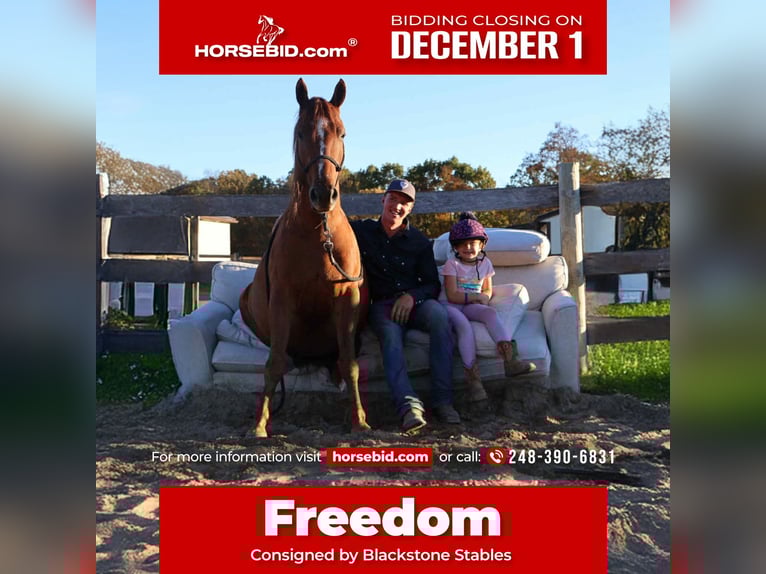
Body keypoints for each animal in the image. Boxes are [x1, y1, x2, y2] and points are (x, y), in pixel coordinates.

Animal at [239, 78, 370, 438]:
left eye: (342, 133)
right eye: (300, 133)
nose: (323, 194)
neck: (318, 234)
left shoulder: (347, 299)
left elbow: (350, 364)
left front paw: (359, 420)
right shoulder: (281, 301)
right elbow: (273, 364)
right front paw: (259, 424)